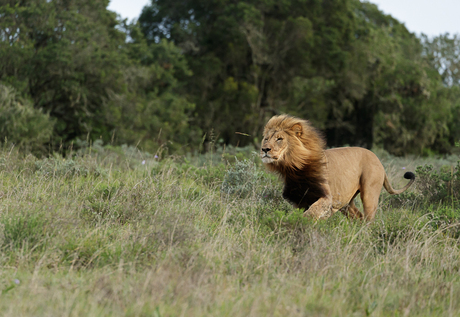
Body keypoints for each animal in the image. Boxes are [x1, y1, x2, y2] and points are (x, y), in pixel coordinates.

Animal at [260, 113, 416, 220]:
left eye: (279, 139)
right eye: (266, 138)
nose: (264, 149)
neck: (294, 169)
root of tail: (378, 160)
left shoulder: (326, 197)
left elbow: (311, 212)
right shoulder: (299, 200)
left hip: (369, 194)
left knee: (368, 219)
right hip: (347, 202)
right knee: (358, 217)